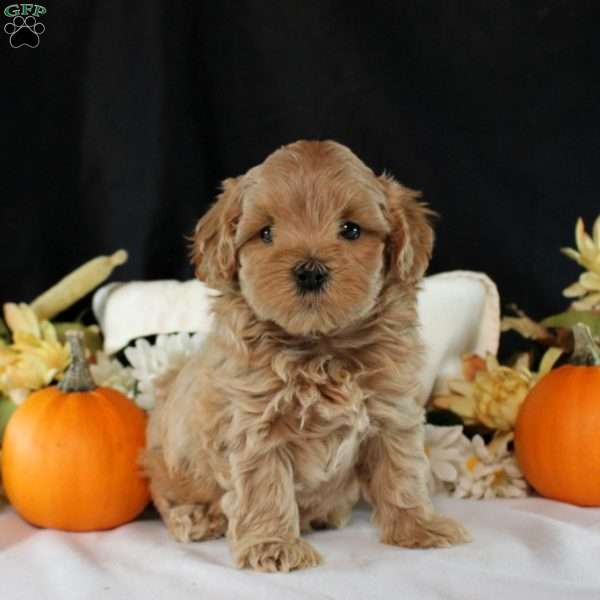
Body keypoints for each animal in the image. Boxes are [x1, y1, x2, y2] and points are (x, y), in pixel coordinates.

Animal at [143, 139, 472, 572]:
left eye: (351, 229)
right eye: (266, 233)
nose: (310, 271)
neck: (322, 348)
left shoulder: (392, 414)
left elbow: (401, 473)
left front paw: (418, 528)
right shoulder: (255, 427)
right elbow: (265, 487)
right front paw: (273, 545)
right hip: (165, 465)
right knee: (166, 499)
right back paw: (197, 518)